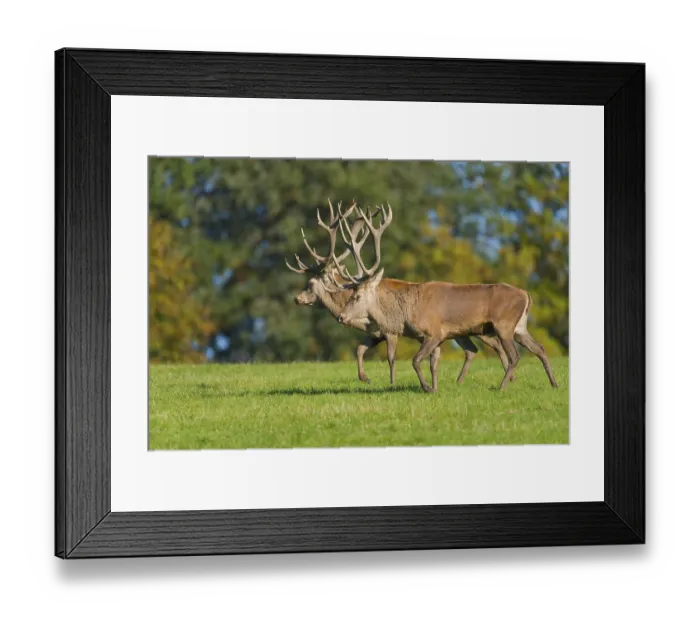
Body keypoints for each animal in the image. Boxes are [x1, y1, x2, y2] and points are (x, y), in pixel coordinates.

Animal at [285, 199, 515, 386]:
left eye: (310, 283)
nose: (297, 298)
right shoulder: (375, 334)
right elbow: (359, 349)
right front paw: (365, 378)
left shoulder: (389, 331)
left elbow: (391, 357)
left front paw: (392, 382)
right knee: (473, 349)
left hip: (478, 329)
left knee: (494, 344)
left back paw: (506, 376)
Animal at [333, 202, 559, 393]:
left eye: (357, 296)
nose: (341, 317)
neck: (406, 314)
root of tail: (526, 294)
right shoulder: (440, 338)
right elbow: (433, 364)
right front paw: (435, 387)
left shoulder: (433, 332)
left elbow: (416, 360)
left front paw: (427, 388)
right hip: (520, 326)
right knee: (539, 348)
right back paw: (554, 383)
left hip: (504, 324)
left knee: (515, 355)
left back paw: (501, 386)